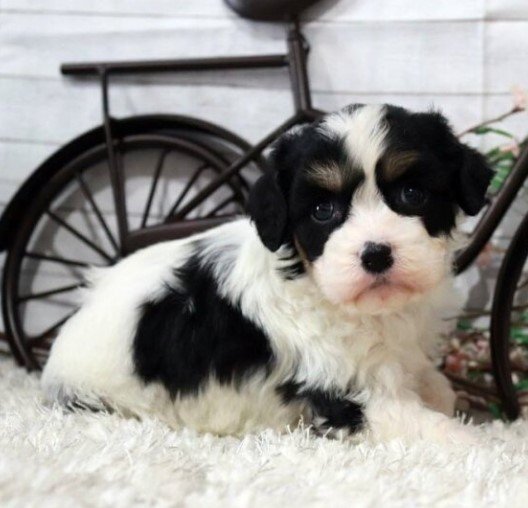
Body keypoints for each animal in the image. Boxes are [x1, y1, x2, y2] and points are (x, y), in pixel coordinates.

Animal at [42, 104, 492, 443]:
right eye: (322, 211)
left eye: (412, 194)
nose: (376, 254)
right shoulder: (340, 388)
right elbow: (424, 426)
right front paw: (476, 446)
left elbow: (434, 385)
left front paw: (442, 392)